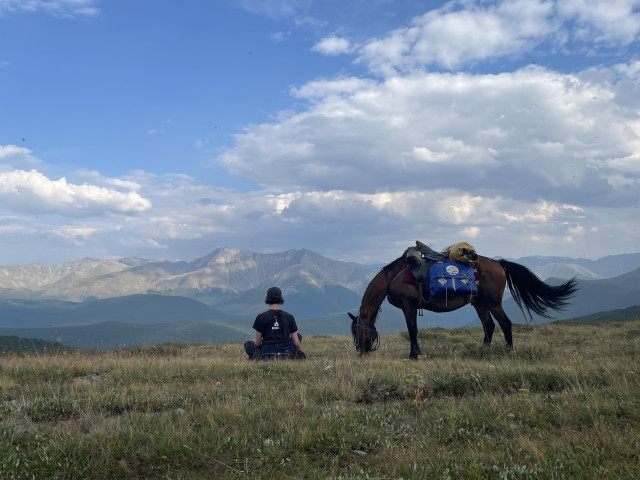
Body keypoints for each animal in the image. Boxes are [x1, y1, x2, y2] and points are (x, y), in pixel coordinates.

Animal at [350, 249, 580, 358]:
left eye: (355, 331)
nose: (360, 351)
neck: (395, 277)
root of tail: (498, 264)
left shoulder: (409, 306)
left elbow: (412, 331)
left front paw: (414, 355)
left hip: (493, 303)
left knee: (505, 324)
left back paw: (508, 350)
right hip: (480, 303)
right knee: (489, 326)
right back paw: (483, 351)